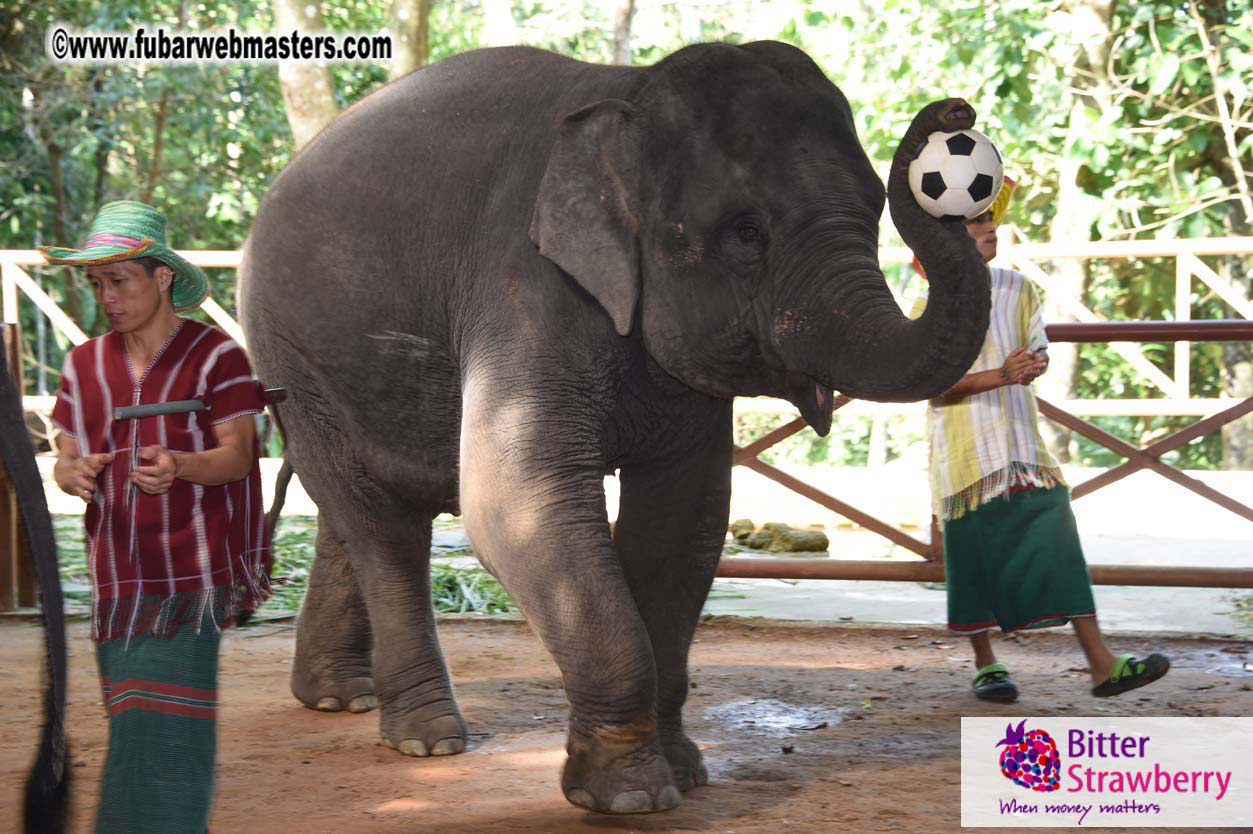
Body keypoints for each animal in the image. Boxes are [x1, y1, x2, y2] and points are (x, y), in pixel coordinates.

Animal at [238, 41, 990, 814]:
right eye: (745, 232)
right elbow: (517, 503)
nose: (953, 112)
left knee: (350, 513)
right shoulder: (523, 285)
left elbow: (684, 518)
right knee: (382, 527)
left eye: (874, 207)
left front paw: (685, 773)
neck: (631, 91)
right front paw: (629, 798)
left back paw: (339, 699)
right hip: (288, 350)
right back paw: (427, 739)